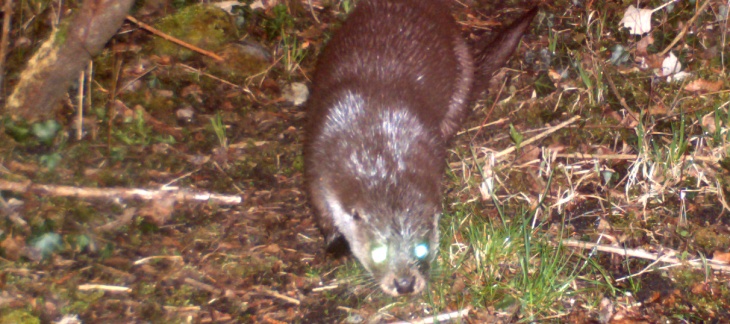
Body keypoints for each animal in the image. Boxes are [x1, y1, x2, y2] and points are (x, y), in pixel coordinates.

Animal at [302, 0, 536, 296]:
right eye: (379, 252)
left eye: (421, 250)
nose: (404, 284)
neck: (376, 143)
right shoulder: (316, 159)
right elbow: (320, 207)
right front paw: (335, 244)